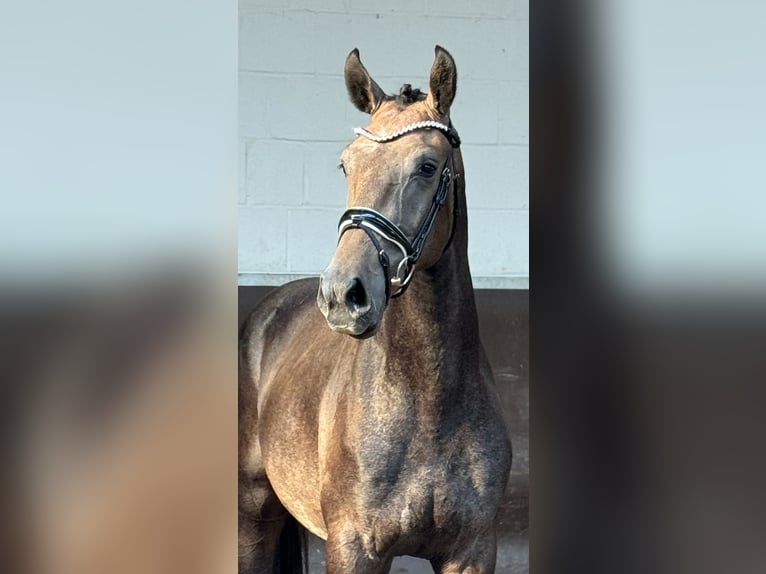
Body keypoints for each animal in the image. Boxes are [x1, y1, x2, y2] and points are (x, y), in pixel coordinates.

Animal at [240, 46, 512, 574]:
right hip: (252, 514)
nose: (342, 294)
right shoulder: (354, 548)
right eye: (346, 165)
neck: (429, 402)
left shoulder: (472, 551)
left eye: (427, 166)